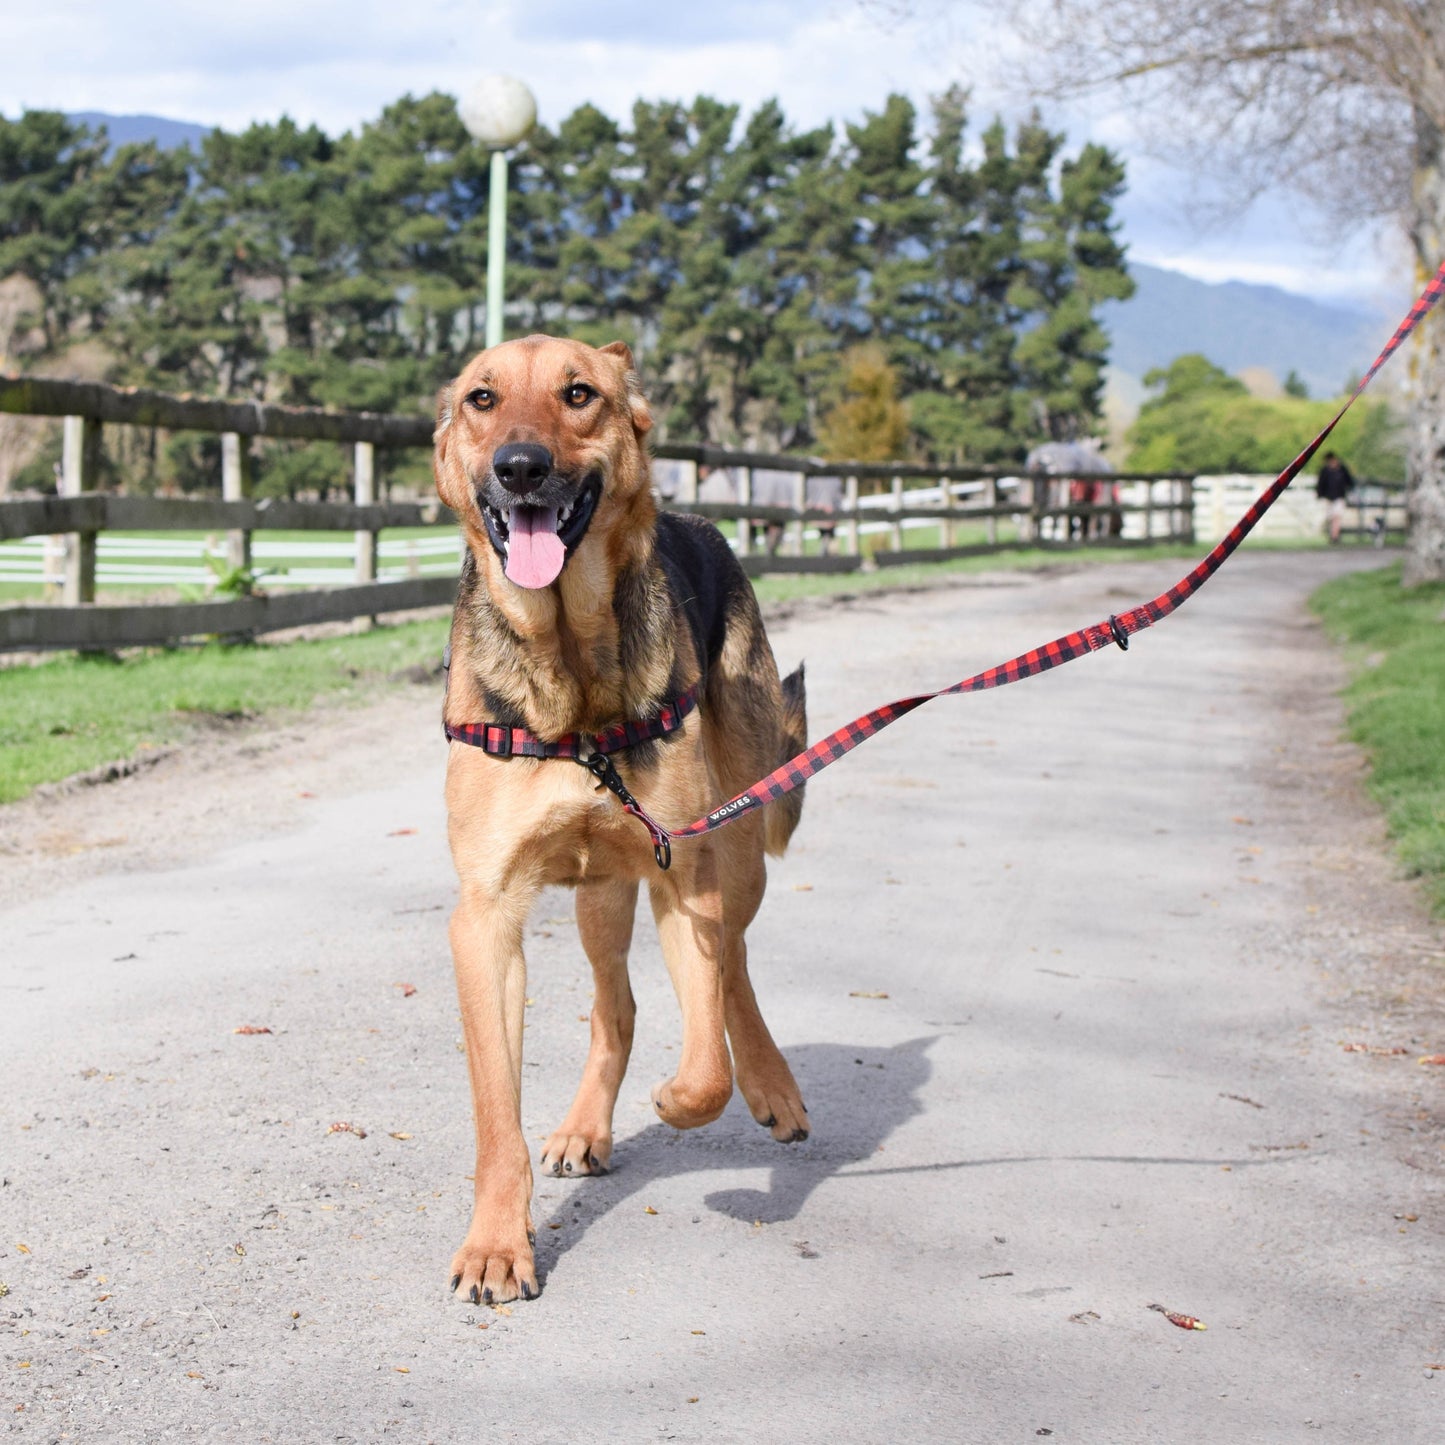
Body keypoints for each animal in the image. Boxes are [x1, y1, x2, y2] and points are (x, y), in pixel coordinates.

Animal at [427, 332, 814, 1306]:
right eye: (482, 397)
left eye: (578, 394)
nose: (519, 467)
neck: (569, 679)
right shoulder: (486, 916)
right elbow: (496, 1111)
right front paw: (498, 1244)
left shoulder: (682, 874)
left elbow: (705, 1056)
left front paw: (684, 1100)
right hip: (598, 891)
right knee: (619, 1005)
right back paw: (583, 1125)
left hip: (734, 844)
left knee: (732, 969)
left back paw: (770, 1083)